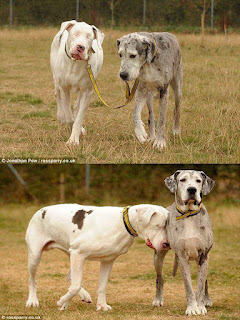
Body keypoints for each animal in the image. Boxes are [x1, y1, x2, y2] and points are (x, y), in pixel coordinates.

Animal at [25, 204, 170, 312]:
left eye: (167, 227)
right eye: (158, 226)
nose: (167, 244)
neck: (123, 224)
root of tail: (40, 210)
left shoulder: (107, 261)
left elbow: (102, 286)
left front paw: (102, 305)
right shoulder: (78, 253)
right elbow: (75, 286)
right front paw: (62, 301)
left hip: (70, 254)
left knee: (70, 277)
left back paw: (79, 297)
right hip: (36, 256)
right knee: (33, 280)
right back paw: (33, 301)